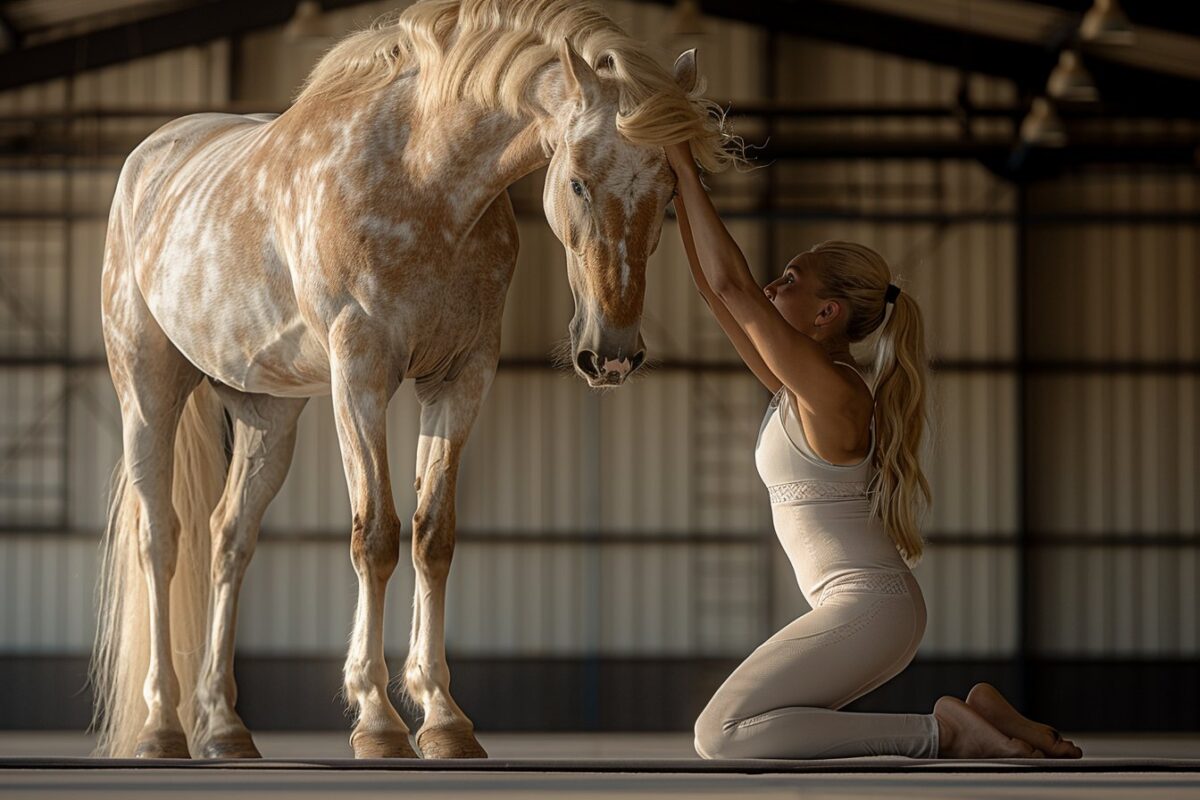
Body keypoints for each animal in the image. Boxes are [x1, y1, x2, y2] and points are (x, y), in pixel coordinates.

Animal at [91, 0, 729, 760]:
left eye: (671, 190)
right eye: (575, 178)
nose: (612, 356)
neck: (423, 178)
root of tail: (151, 155)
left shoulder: (461, 376)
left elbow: (432, 535)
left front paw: (445, 717)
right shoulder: (361, 372)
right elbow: (376, 535)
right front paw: (377, 718)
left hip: (266, 414)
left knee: (228, 540)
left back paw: (224, 726)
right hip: (146, 393)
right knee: (160, 539)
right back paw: (162, 726)